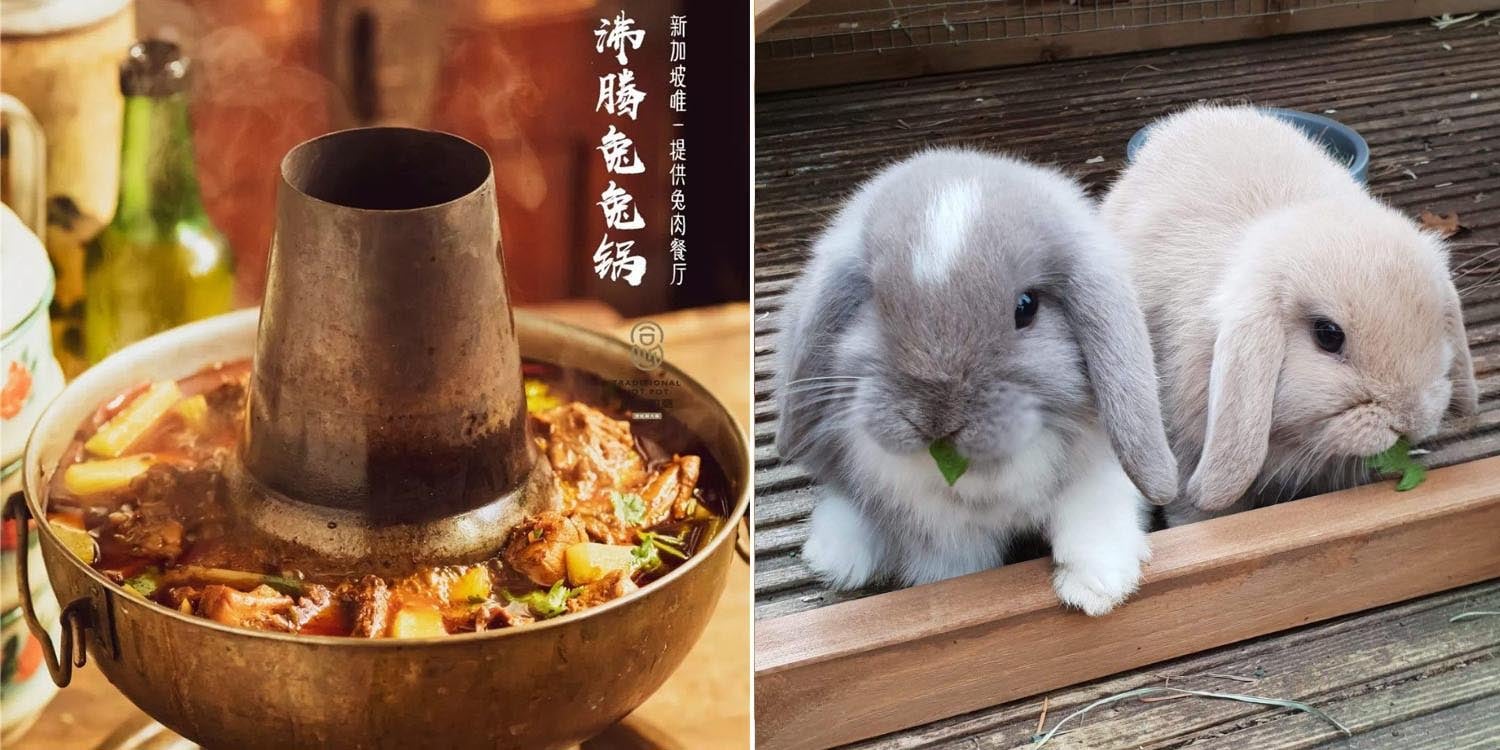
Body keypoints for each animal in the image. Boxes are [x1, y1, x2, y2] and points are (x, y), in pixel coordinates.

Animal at [775, 148, 1178, 616]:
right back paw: (837, 555)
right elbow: (958, 567)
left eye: (1026, 307)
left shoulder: (1098, 470)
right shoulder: (939, 523)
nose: (935, 418)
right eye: (875, 302)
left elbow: (1092, 518)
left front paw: (1097, 591)